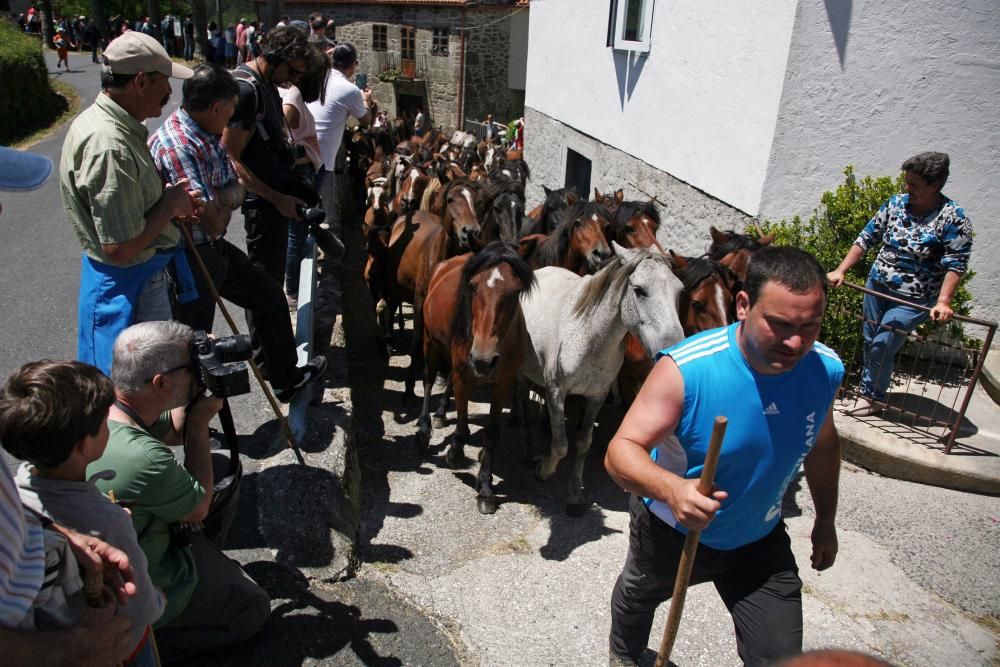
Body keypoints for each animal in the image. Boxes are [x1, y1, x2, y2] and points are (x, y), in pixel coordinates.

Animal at [416, 243, 536, 516]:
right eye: (472, 286)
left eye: (515, 292)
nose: (483, 359)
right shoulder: (464, 375)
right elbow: (462, 427)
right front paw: (454, 453)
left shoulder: (503, 382)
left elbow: (491, 434)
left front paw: (485, 488)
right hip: (429, 340)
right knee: (428, 380)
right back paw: (425, 427)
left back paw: (440, 415)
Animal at [516, 245, 688, 516]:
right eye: (639, 290)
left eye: (679, 291)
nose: (673, 348)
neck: (588, 334)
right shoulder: (557, 393)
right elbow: (561, 445)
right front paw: (543, 469)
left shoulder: (596, 397)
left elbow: (583, 443)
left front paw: (574, 495)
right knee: (522, 401)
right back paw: (526, 448)